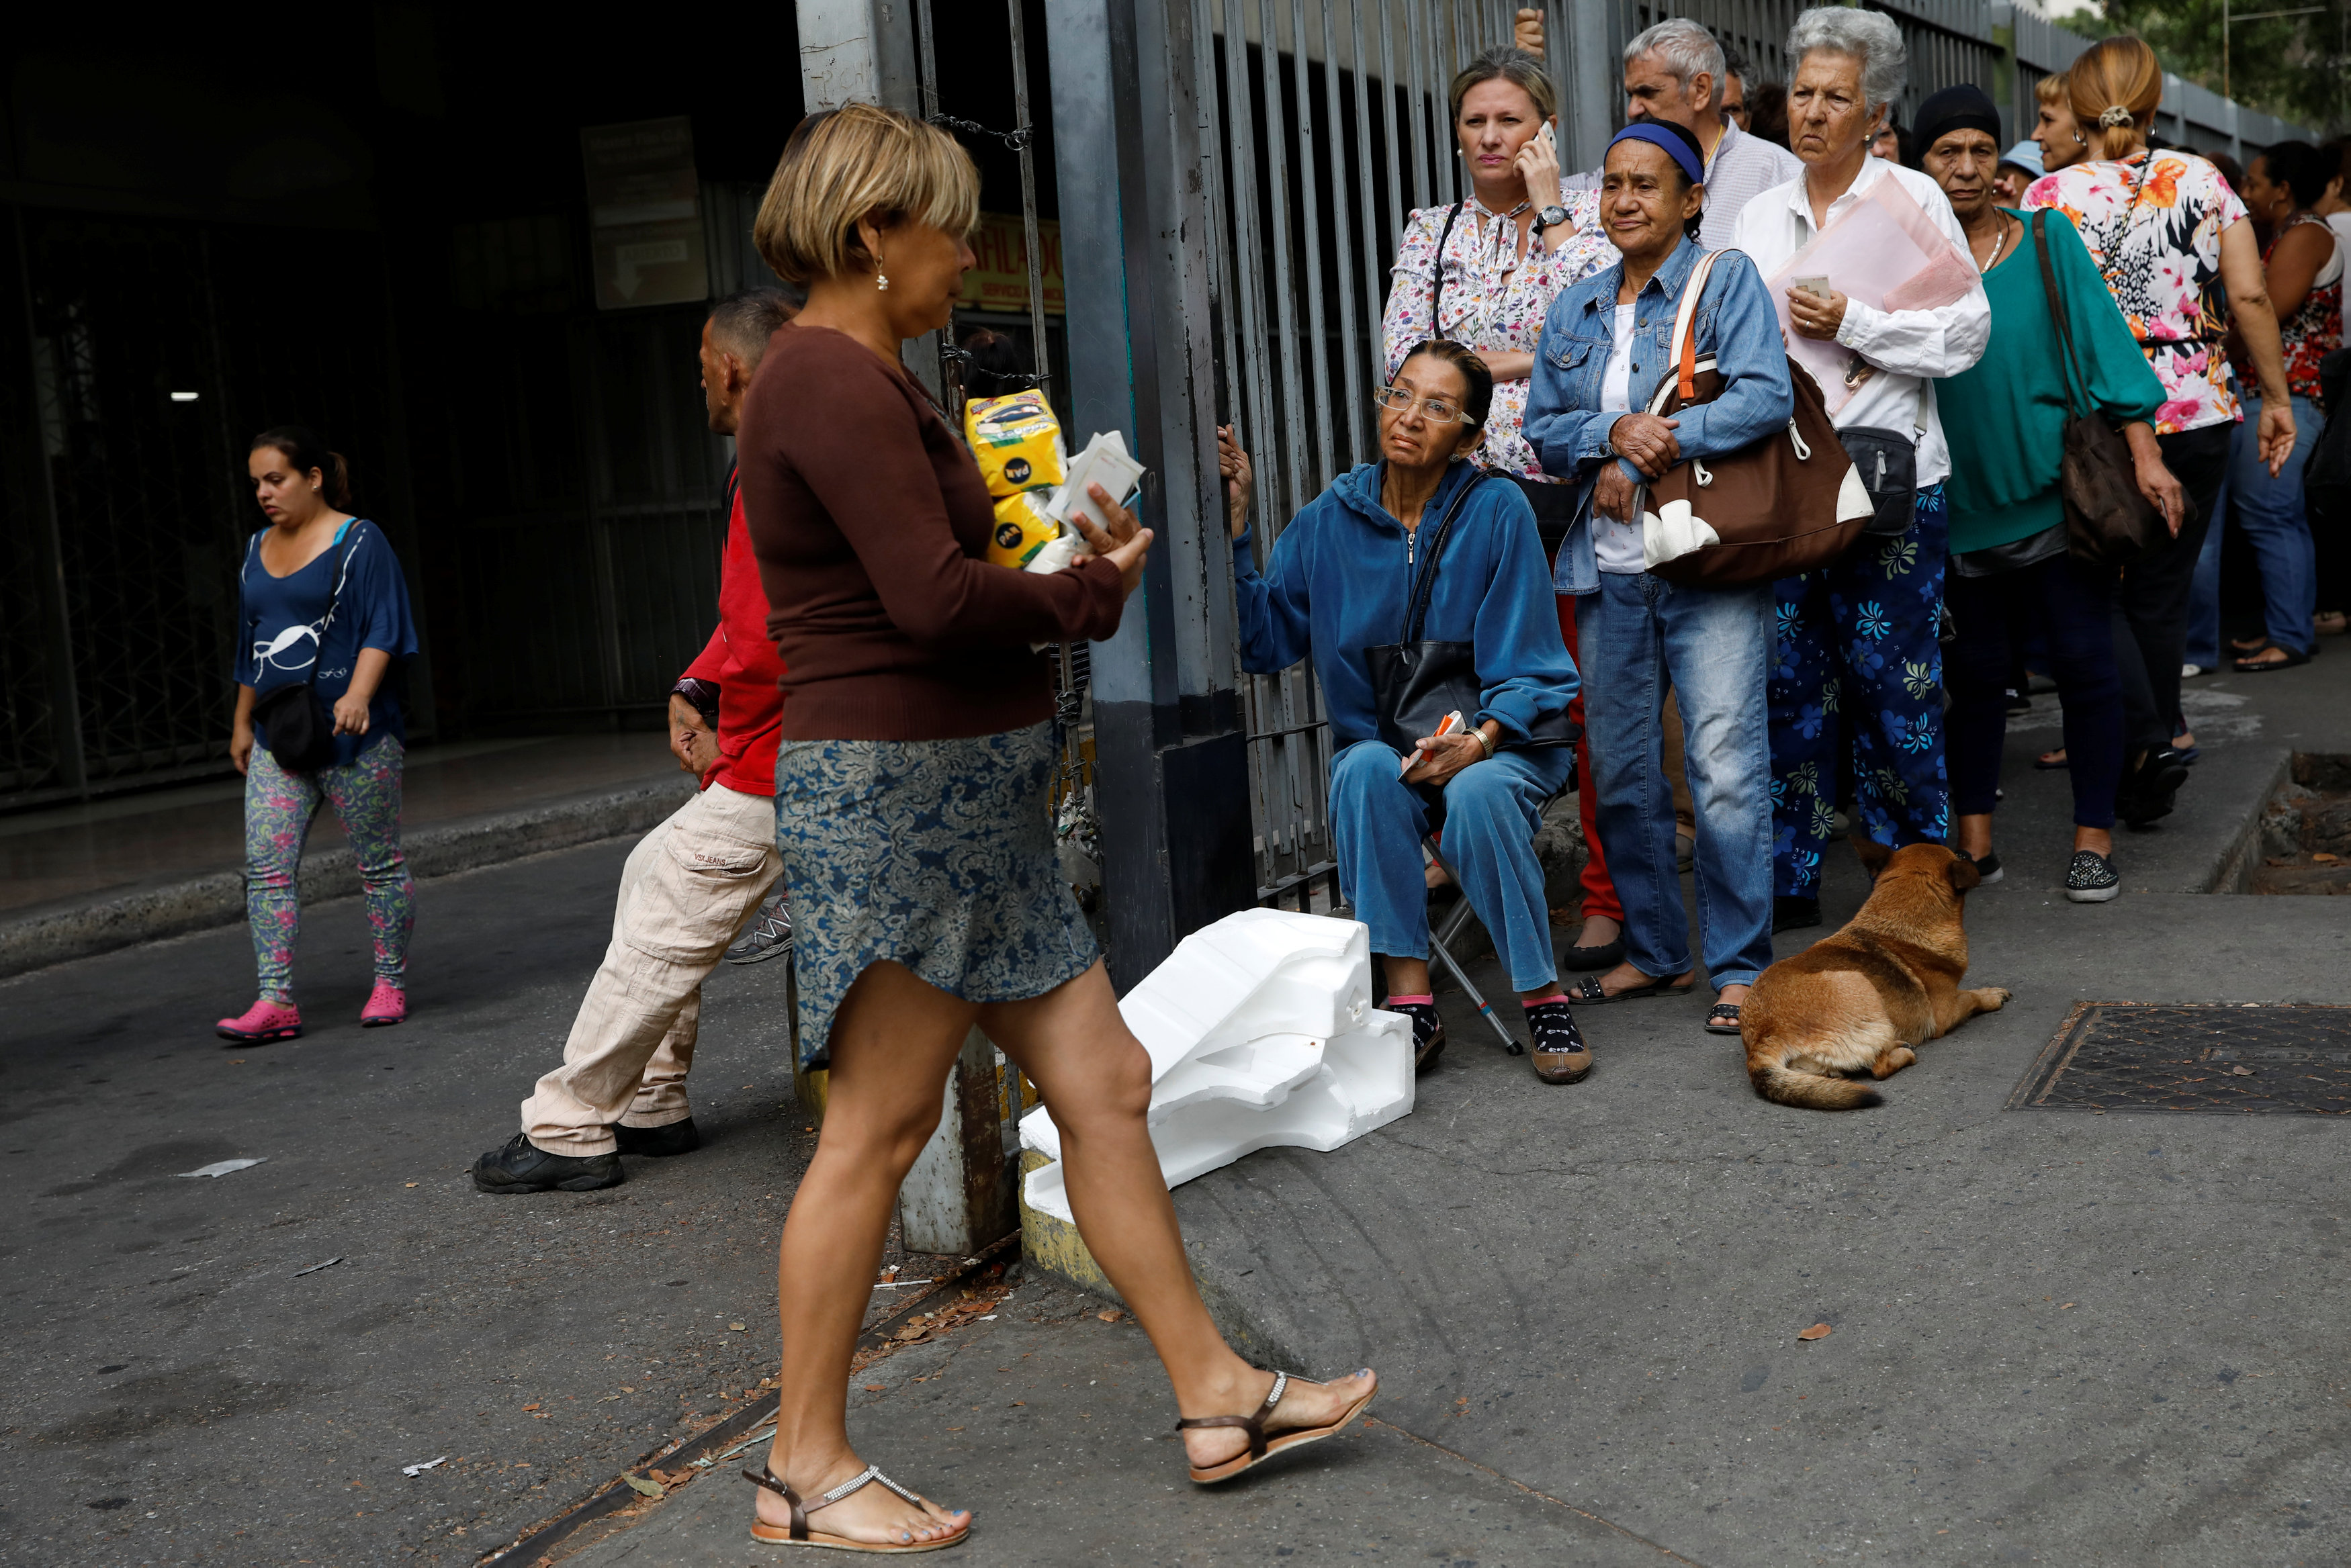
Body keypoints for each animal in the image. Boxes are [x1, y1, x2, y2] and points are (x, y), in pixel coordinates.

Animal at [1740, 841, 2012, 1109]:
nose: (1967, 853)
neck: (1897, 927)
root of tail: (1764, 1035)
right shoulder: (1946, 1012)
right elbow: (1970, 997)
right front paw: (1990, 996)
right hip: (1858, 982)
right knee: (1878, 1068)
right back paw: (1904, 1053)